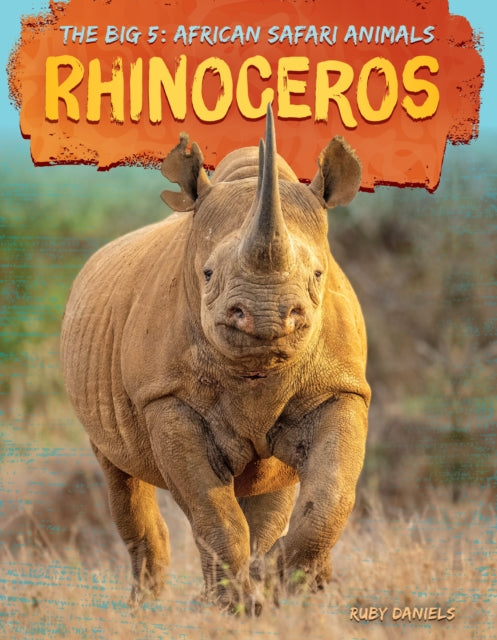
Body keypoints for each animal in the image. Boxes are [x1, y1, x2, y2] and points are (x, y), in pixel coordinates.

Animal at [60, 105, 370, 613]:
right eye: (207, 274)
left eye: (318, 275)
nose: (266, 315)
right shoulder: (167, 398)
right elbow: (213, 513)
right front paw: (233, 608)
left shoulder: (338, 388)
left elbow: (331, 495)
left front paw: (280, 586)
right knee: (120, 475)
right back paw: (149, 606)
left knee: (273, 487)